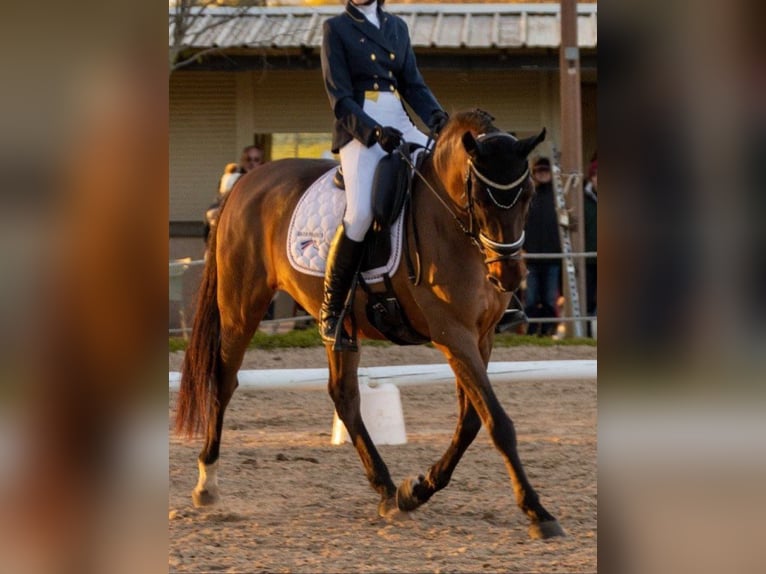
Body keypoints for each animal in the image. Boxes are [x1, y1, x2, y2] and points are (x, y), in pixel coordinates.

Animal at [177, 109, 568, 540]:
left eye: (528, 195)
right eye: (481, 198)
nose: (509, 276)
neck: (450, 223)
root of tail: (246, 182)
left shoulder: (480, 338)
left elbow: (470, 421)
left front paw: (417, 489)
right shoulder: (453, 335)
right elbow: (497, 421)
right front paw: (537, 511)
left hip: (339, 327)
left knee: (344, 396)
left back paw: (387, 490)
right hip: (241, 307)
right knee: (223, 381)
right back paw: (207, 484)